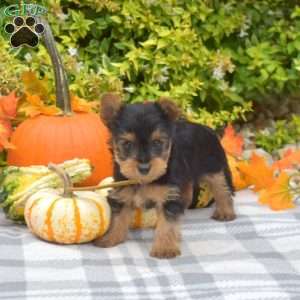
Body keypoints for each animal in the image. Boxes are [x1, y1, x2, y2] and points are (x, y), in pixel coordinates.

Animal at [95, 93, 236, 258]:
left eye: (157, 142)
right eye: (127, 144)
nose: (144, 168)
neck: (145, 180)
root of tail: (209, 129)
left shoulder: (168, 196)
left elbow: (167, 223)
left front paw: (165, 248)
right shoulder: (123, 192)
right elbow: (118, 218)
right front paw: (110, 238)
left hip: (214, 168)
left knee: (222, 189)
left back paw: (225, 212)